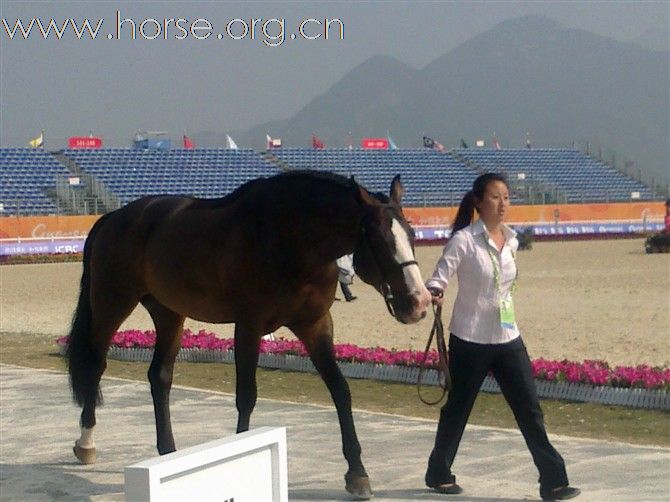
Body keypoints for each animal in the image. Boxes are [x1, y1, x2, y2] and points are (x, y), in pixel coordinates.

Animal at [65, 170, 434, 498]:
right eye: (378, 239)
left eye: (412, 235)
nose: (418, 302)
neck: (288, 238)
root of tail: (113, 217)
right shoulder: (249, 326)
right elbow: (246, 395)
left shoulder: (315, 325)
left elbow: (340, 390)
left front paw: (357, 473)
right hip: (112, 304)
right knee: (95, 366)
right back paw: (86, 442)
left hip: (168, 313)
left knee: (160, 377)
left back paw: (169, 451)